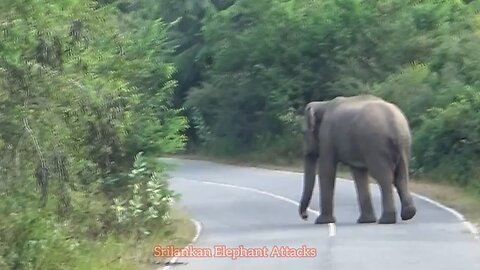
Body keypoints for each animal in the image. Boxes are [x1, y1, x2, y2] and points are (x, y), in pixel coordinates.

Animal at [300, 95, 416, 224]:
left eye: (303, 133)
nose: (305, 216)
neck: (323, 104)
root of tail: (395, 124)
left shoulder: (326, 135)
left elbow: (327, 170)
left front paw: (322, 221)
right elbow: (359, 173)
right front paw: (366, 221)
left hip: (375, 145)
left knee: (384, 177)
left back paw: (386, 220)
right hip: (404, 143)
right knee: (401, 176)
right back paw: (408, 214)